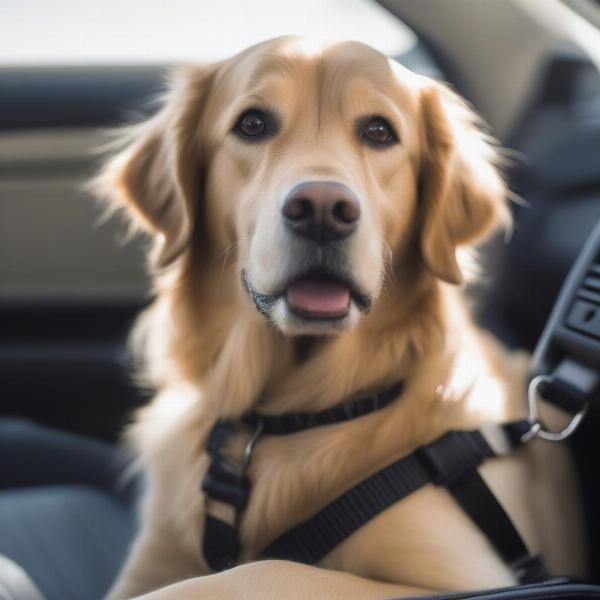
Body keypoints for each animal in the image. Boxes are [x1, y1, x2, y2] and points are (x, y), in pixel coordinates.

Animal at [95, 36, 584, 600]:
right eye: (251, 124)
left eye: (378, 131)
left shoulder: (471, 576)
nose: (323, 209)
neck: (292, 417)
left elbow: (267, 569)